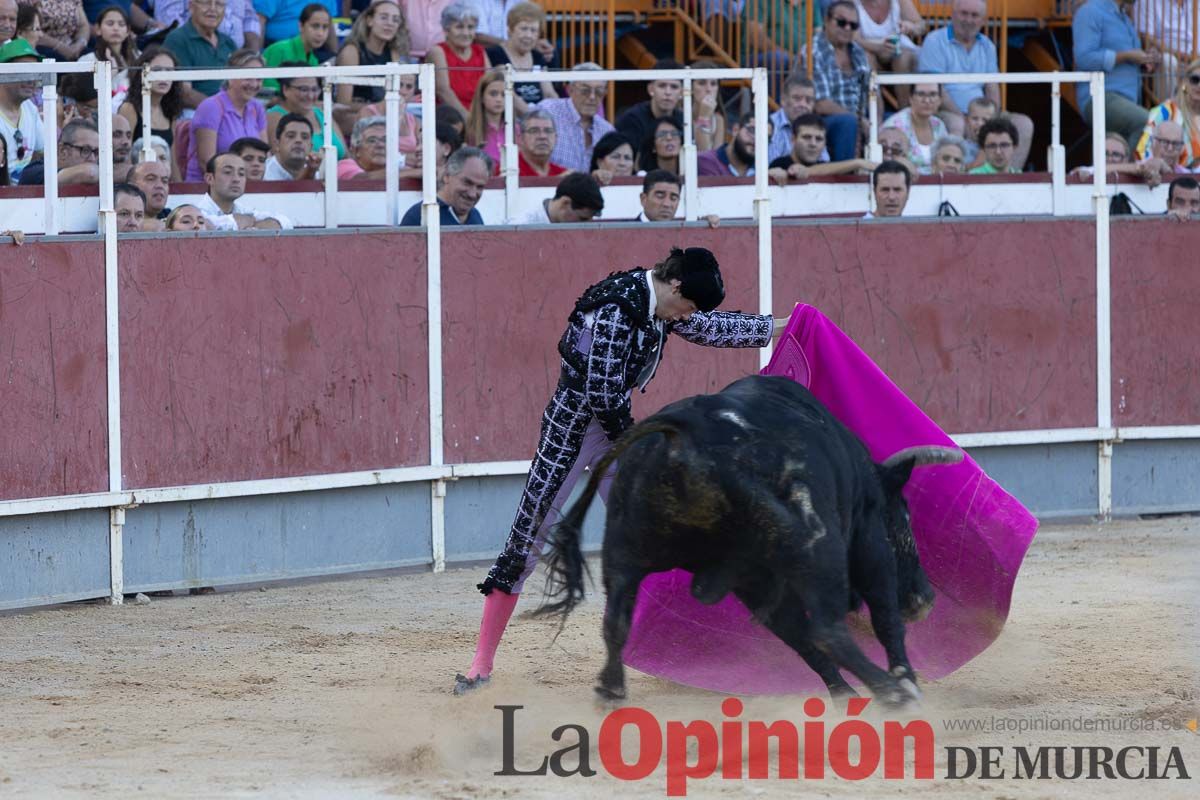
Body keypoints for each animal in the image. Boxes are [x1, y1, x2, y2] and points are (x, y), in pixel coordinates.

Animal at [540, 376, 960, 705]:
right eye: (903, 516)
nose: (925, 599)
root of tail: (686, 430)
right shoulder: (869, 542)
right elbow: (884, 616)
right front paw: (905, 681)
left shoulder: (754, 580)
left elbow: (801, 640)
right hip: (817, 546)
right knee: (828, 630)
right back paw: (895, 695)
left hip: (627, 551)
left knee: (616, 621)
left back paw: (610, 693)